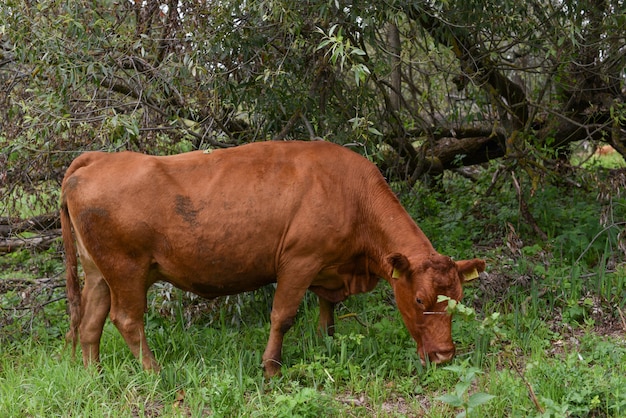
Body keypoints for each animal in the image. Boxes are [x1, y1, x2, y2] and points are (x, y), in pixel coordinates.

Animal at [61, 141, 486, 378]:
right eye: (419, 299)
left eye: (459, 299)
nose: (445, 355)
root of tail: (98, 159)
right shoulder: (299, 261)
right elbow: (283, 316)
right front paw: (271, 368)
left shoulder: (328, 269)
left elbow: (327, 312)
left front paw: (326, 344)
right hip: (126, 270)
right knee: (126, 320)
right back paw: (155, 373)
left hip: (98, 272)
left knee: (91, 324)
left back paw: (94, 376)